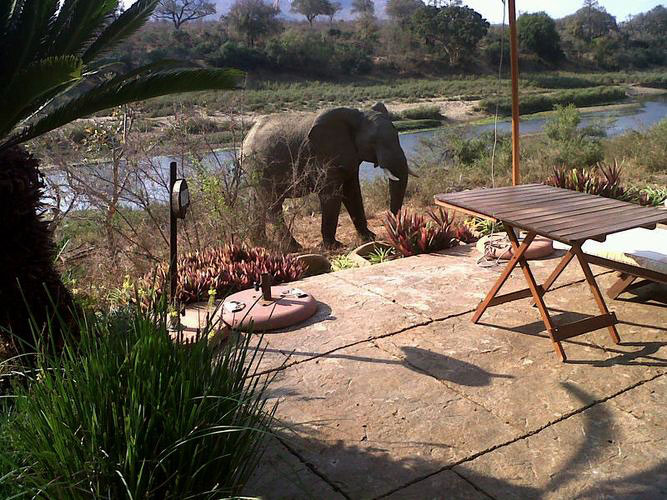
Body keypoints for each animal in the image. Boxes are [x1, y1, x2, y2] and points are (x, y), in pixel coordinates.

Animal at [241, 102, 415, 250]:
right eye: (373, 142)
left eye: (397, 134)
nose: (395, 229)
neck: (356, 115)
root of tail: (246, 138)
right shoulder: (324, 155)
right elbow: (331, 195)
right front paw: (334, 246)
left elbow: (352, 192)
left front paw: (369, 237)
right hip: (259, 167)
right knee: (272, 205)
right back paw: (294, 247)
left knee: (257, 204)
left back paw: (262, 244)